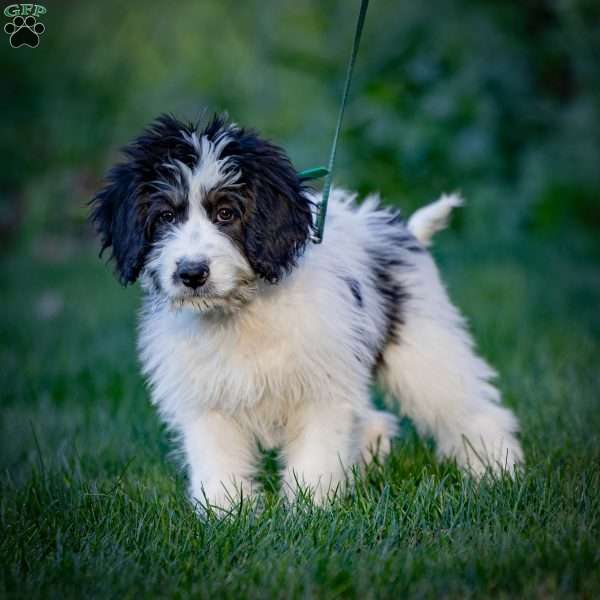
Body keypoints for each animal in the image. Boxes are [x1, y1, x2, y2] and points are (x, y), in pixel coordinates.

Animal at [91, 113, 524, 510]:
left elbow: (316, 454)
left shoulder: (321, 388)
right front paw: (226, 516)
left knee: (470, 408)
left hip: (423, 347)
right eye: (165, 216)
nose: (191, 273)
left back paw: (497, 470)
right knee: (376, 419)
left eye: (226, 213)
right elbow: (218, 462)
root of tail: (404, 232)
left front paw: (309, 510)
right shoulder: (206, 399)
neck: (242, 314)